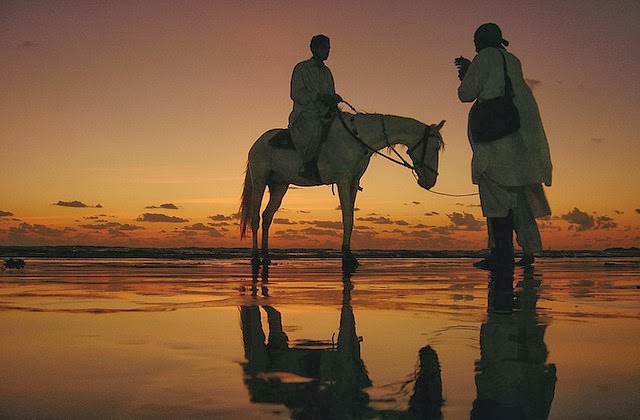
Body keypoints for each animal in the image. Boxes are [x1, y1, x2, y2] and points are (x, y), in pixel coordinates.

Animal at [238, 110, 442, 270]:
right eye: (435, 147)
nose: (431, 181)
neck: (357, 138)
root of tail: (256, 144)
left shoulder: (353, 182)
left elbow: (350, 218)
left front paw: (349, 254)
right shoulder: (343, 180)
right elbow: (347, 217)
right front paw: (347, 256)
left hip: (279, 186)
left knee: (267, 216)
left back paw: (266, 256)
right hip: (260, 181)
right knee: (255, 217)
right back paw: (255, 257)